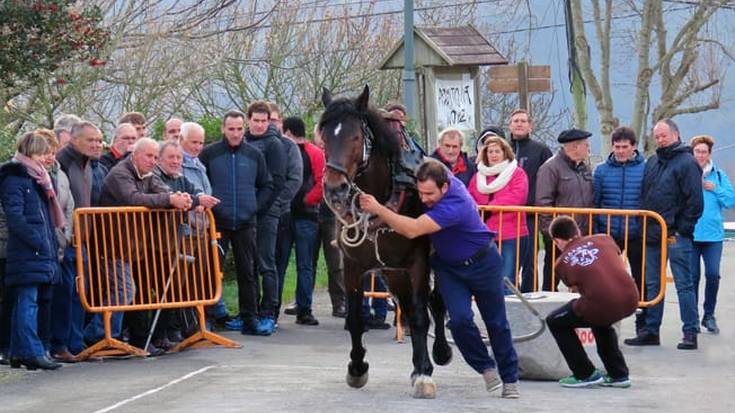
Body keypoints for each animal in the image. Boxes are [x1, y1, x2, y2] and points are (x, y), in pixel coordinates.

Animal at [320, 85, 454, 398]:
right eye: (324, 136)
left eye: (355, 137)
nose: (334, 188)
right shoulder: (353, 265)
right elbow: (356, 319)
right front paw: (357, 368)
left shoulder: (418, 262)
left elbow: (420, 316)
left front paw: (424, 374)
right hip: (393, 272)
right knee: (408, 304)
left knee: (434, 303)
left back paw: (438, 353)